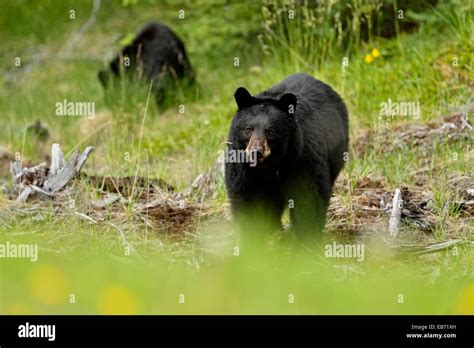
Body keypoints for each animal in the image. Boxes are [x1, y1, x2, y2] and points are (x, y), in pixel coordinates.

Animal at [224, 73, 350, 241]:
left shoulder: (302, 159)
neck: (270, 166)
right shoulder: (241, 167)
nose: (256, 152)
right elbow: (246, 200)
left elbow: (309, 198)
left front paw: (306, 239)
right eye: (248, 130)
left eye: (270, 131)